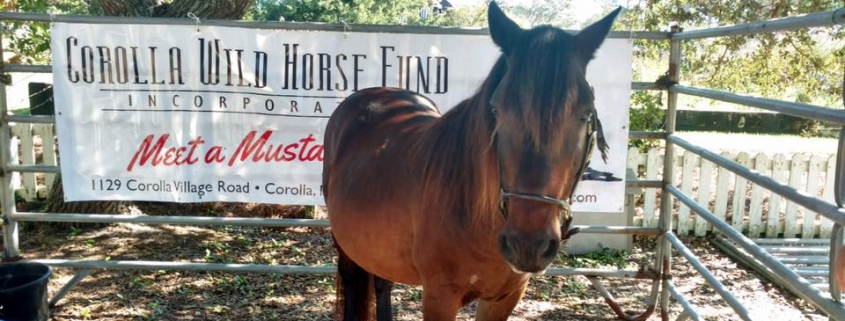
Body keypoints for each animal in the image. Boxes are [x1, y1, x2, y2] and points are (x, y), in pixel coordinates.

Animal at [324, 1, 620, 318]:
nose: (528, 244)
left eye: (585, 114)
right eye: (498, 110)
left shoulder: (505, 297)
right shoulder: (439, 297)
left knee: (382, 282)